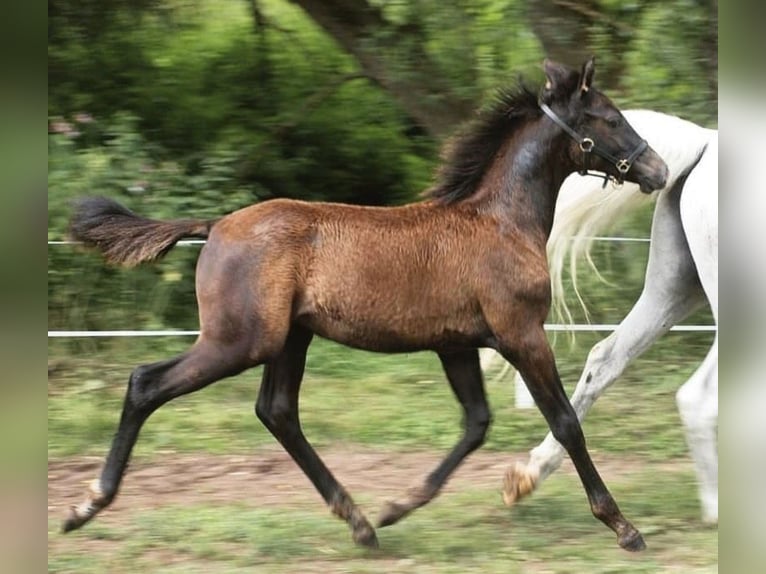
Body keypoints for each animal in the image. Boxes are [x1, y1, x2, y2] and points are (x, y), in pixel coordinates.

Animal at [63, 58, 668, 552]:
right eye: (611, 118)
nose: (658, 170)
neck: (501, 221)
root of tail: (214, 227)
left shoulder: (456, 344)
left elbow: (476, 423)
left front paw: (398, 506)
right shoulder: (521, 334)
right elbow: (566, 422)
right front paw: (624, 528)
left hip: (289, 339)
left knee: (277, 411)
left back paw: (360, 523)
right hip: (239, 340)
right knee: (147, 382)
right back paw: (86, 504)